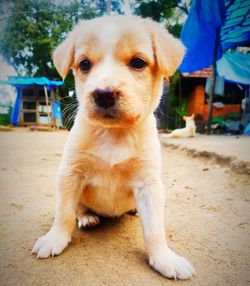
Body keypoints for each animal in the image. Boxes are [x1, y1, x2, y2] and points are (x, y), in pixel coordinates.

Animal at [31, 15, 195, 280]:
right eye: (84, 64)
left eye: (138, 62)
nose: (104, 94)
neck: (114, 134)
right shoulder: (70, 173)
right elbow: (64, 213)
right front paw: (54, 239)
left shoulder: (149, 184)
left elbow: (155, 230)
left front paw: (164, 258)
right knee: (78, 208)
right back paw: (88, 217)